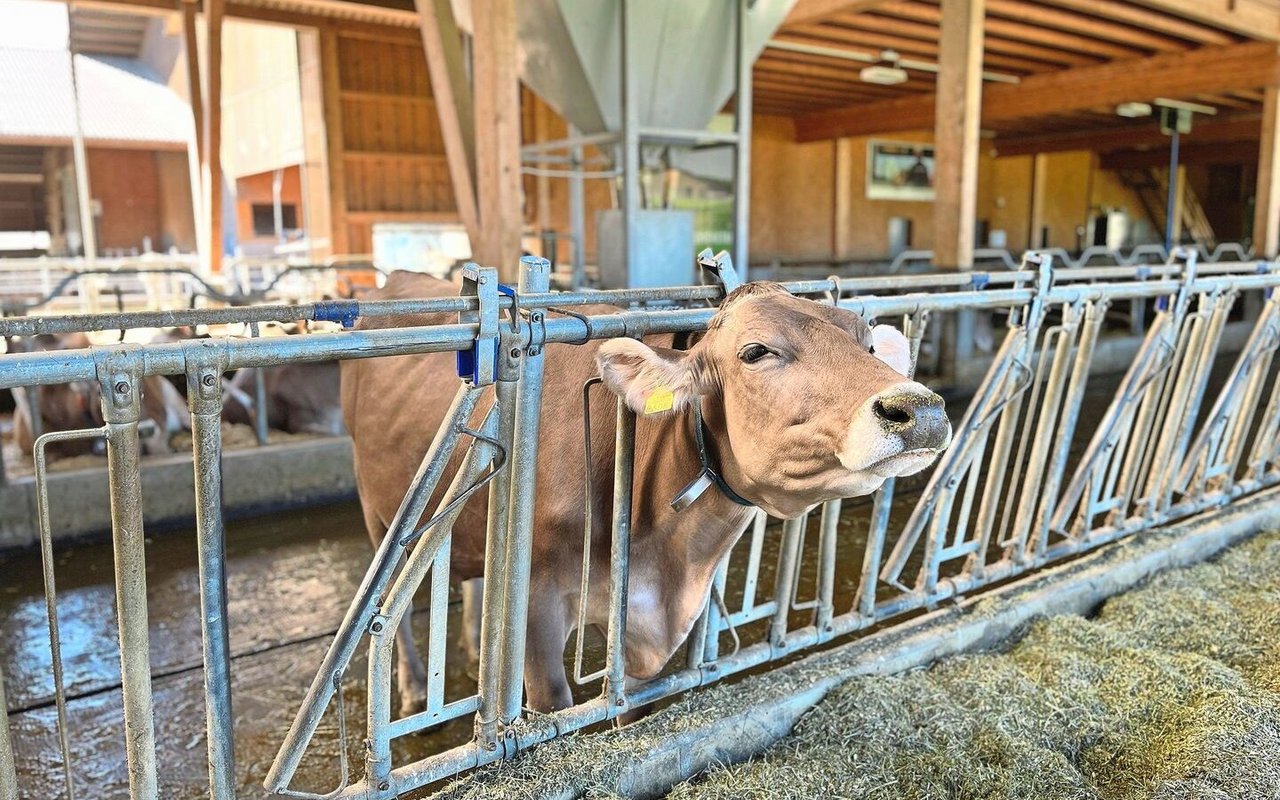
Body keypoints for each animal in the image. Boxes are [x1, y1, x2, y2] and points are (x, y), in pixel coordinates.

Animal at [343, 272, 952, 711]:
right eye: (756, 352)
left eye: (868, 344)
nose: (918, 408)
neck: (663, 554)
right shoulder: (536, 612)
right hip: (379, 511)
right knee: (390, 607)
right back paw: (414, 688)